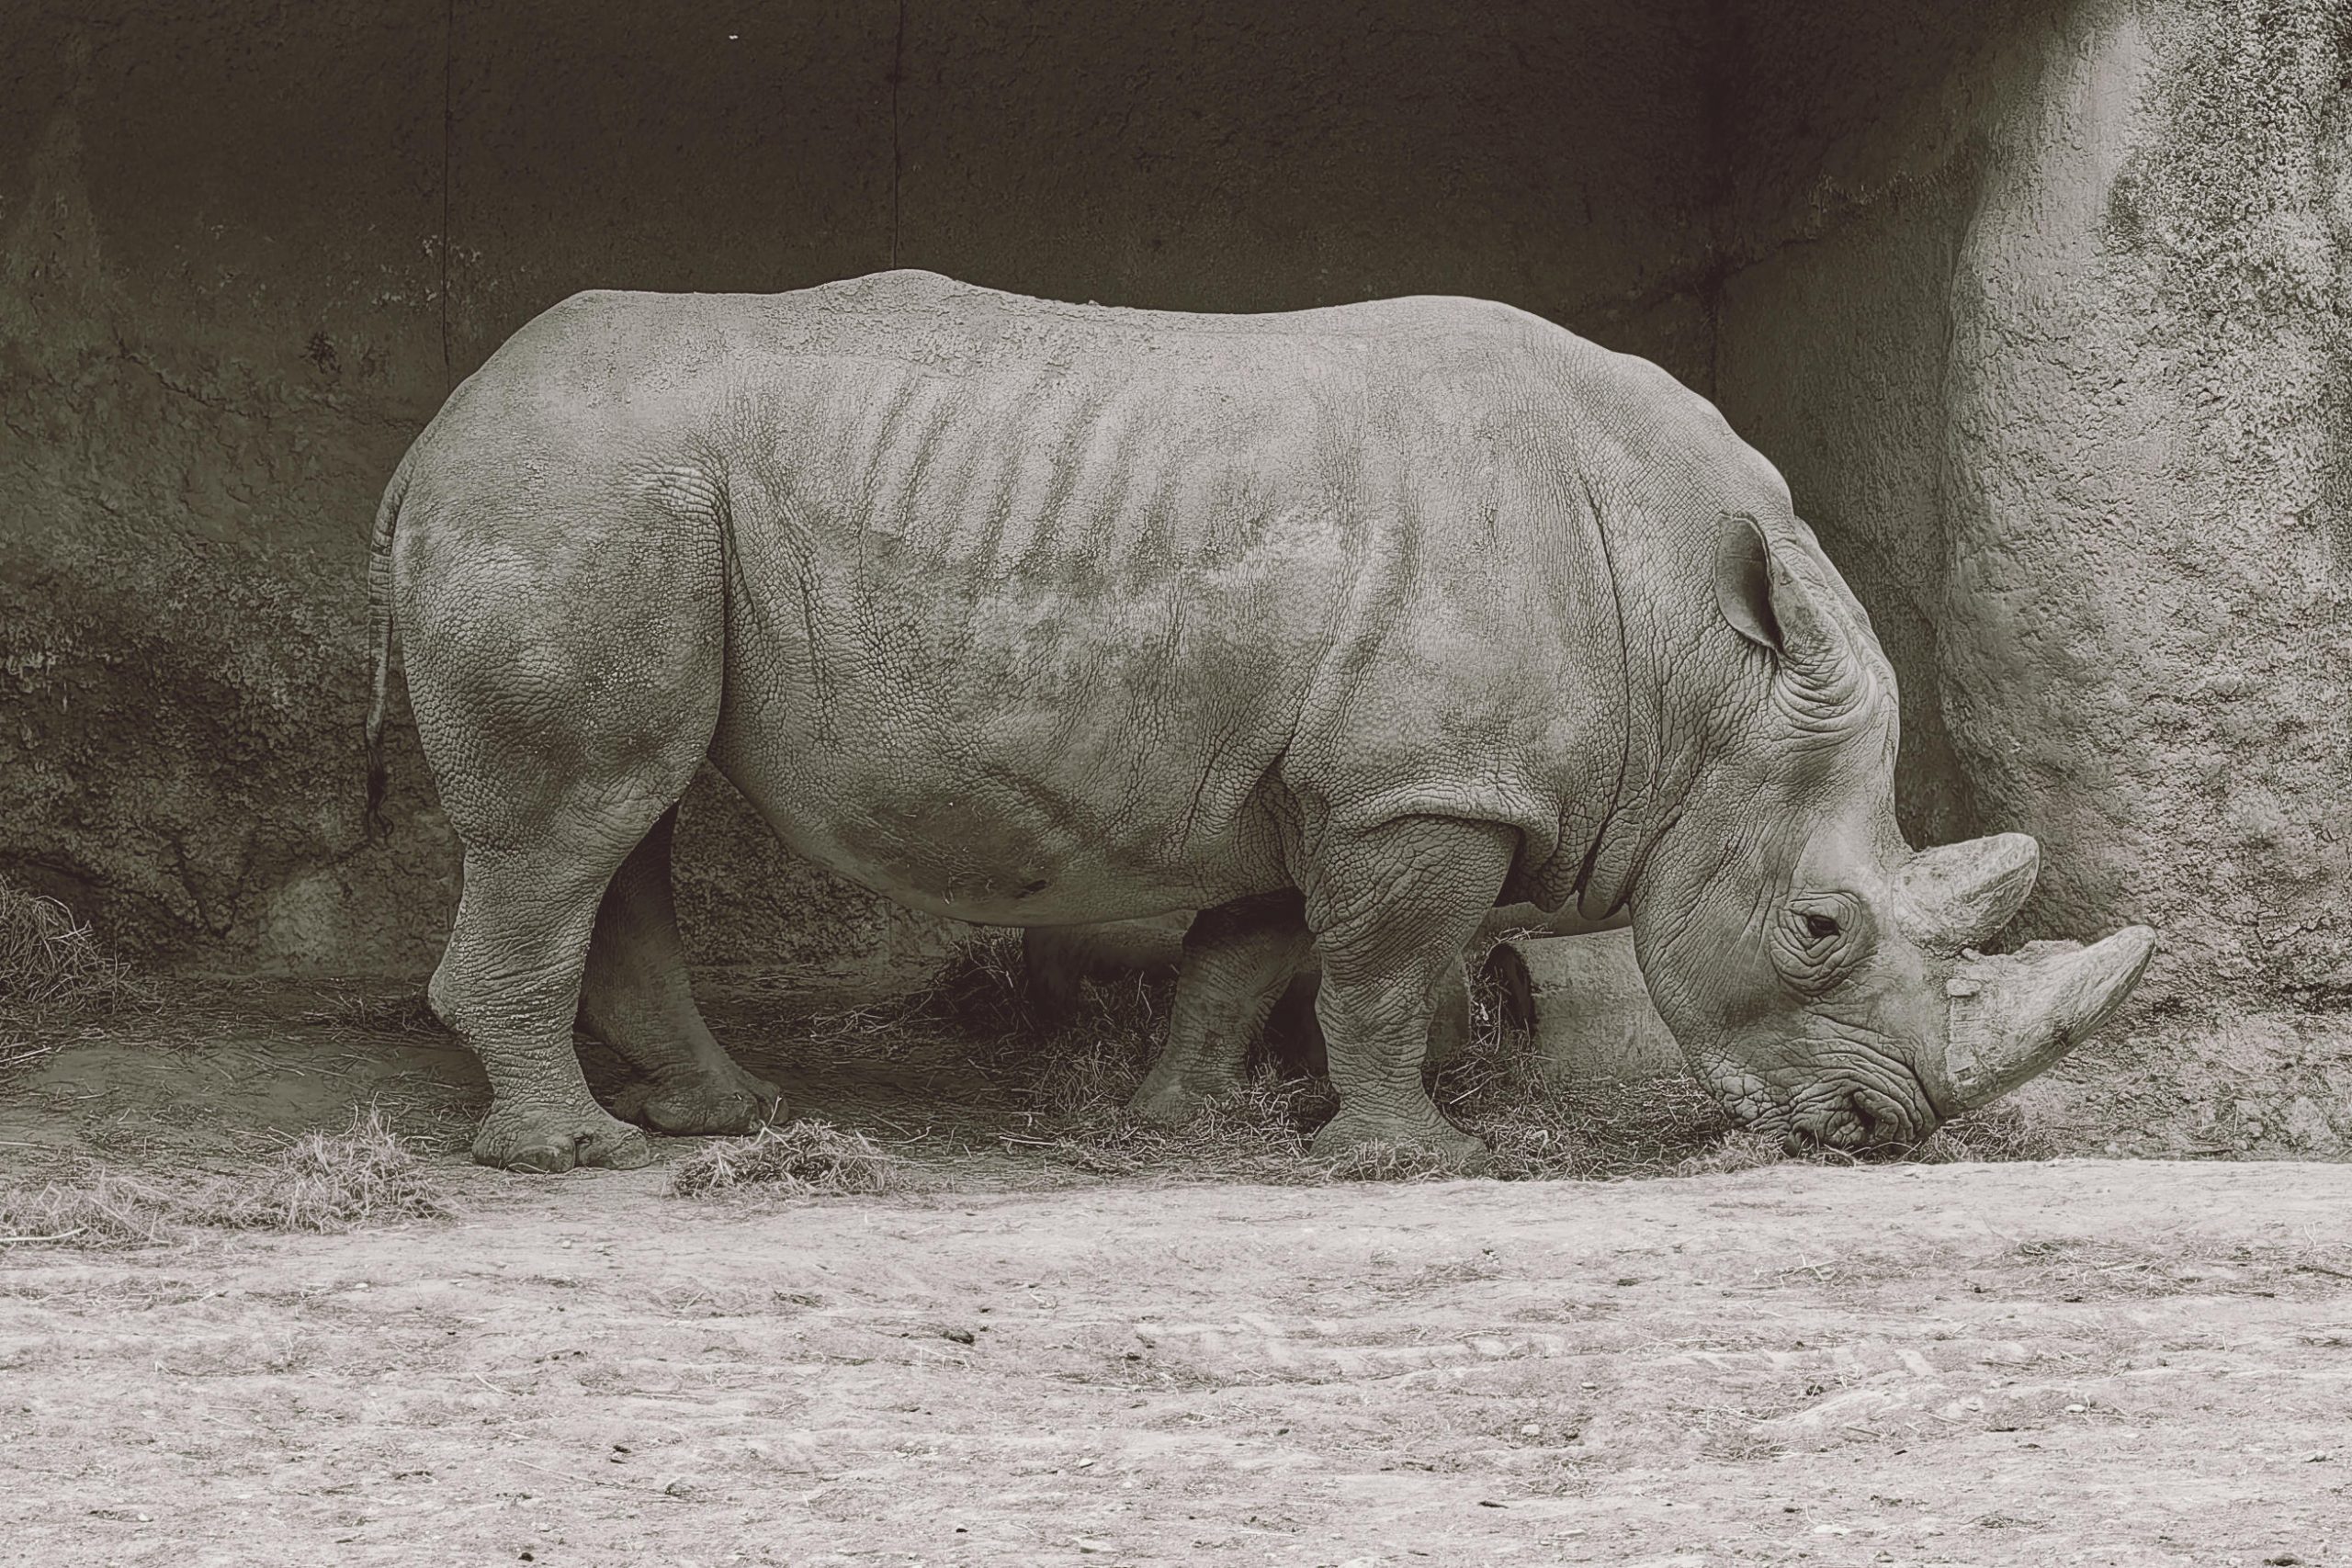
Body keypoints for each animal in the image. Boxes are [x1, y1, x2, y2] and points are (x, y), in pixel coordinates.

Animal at [364, 269, 2154, 1173]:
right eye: (1819, 929)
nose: (1881, 1129)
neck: (1702, 671)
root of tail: (438, 424)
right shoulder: (1422, 787)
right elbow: (1381, 971)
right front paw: (1413, 1157)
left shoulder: (1333, 775)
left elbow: (1256, 948)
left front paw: (1192, 1118)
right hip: (576, 487)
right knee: (578, 817)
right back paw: (570, 1152)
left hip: (614, 493)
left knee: (625, 814)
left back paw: (715, 1117)